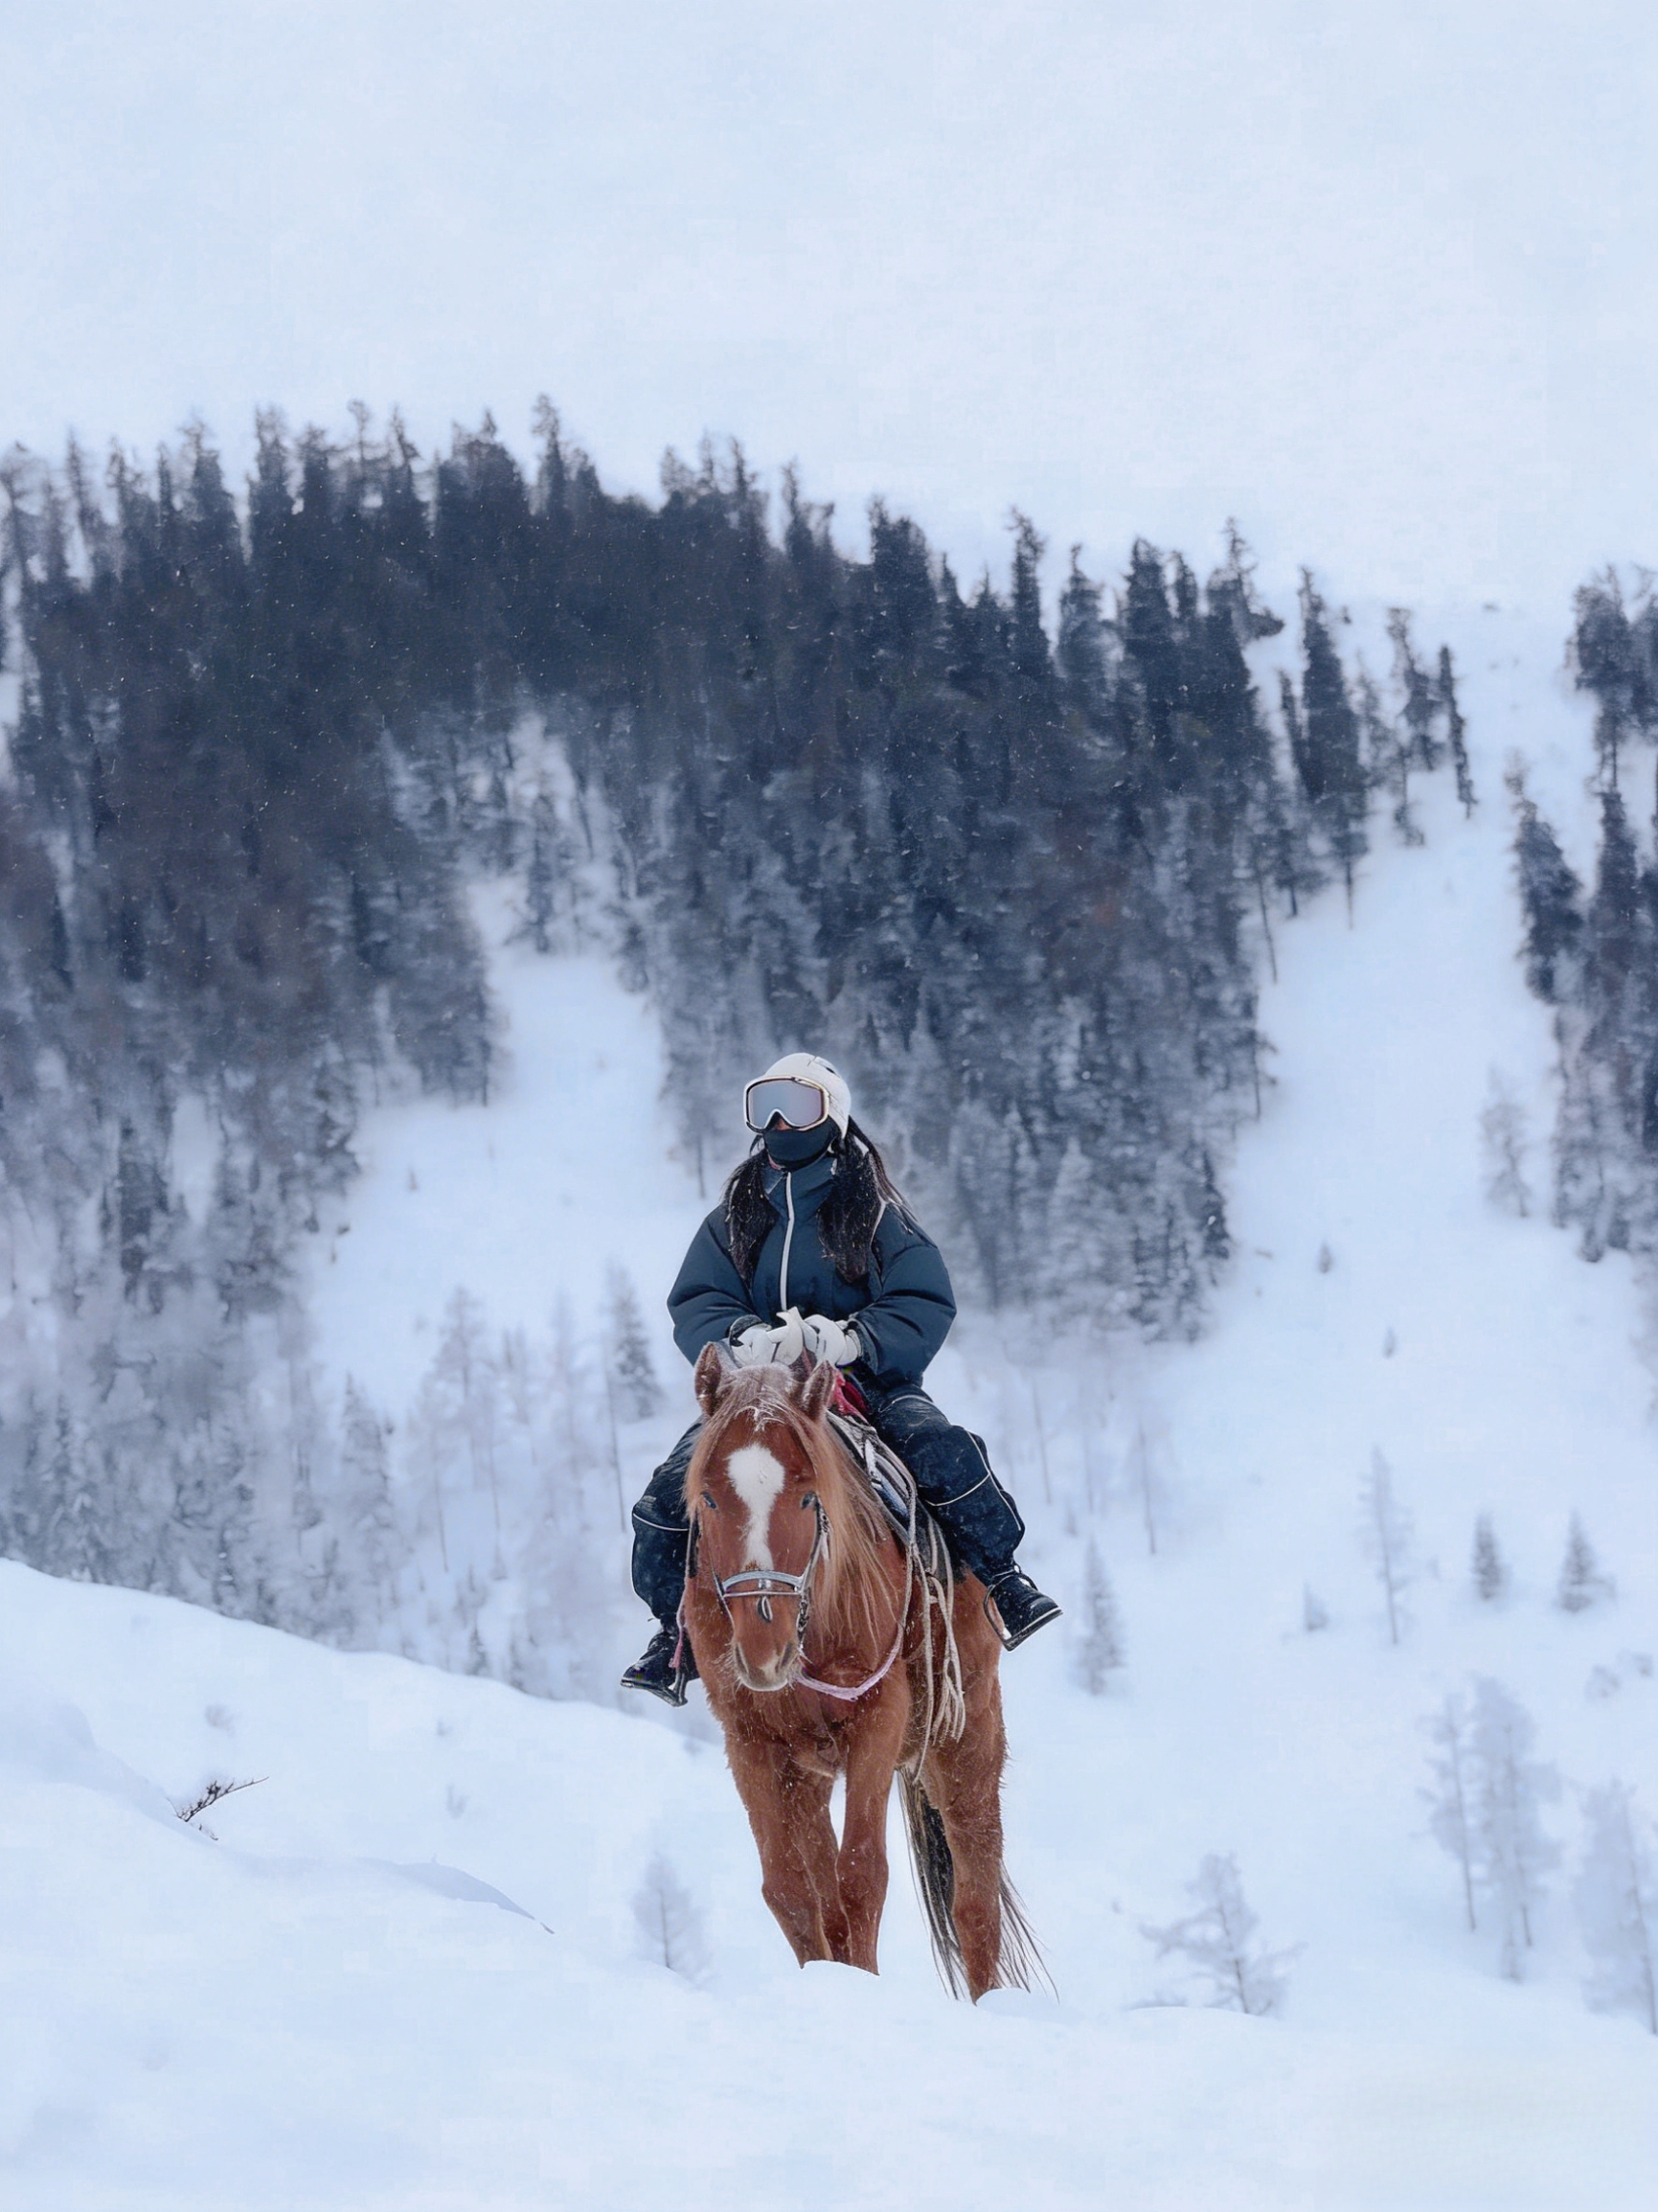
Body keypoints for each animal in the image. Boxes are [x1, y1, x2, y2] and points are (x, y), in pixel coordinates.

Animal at [680, 1343, 1043, 2000]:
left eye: (807, 1496)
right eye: (711, 1499)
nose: (763, 1648)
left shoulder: (877, 1719)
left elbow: (862, 1875)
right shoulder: (750, 1744)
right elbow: (792, 1891)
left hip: (967, 1736)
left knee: (976, 1900)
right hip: (809, 1771)